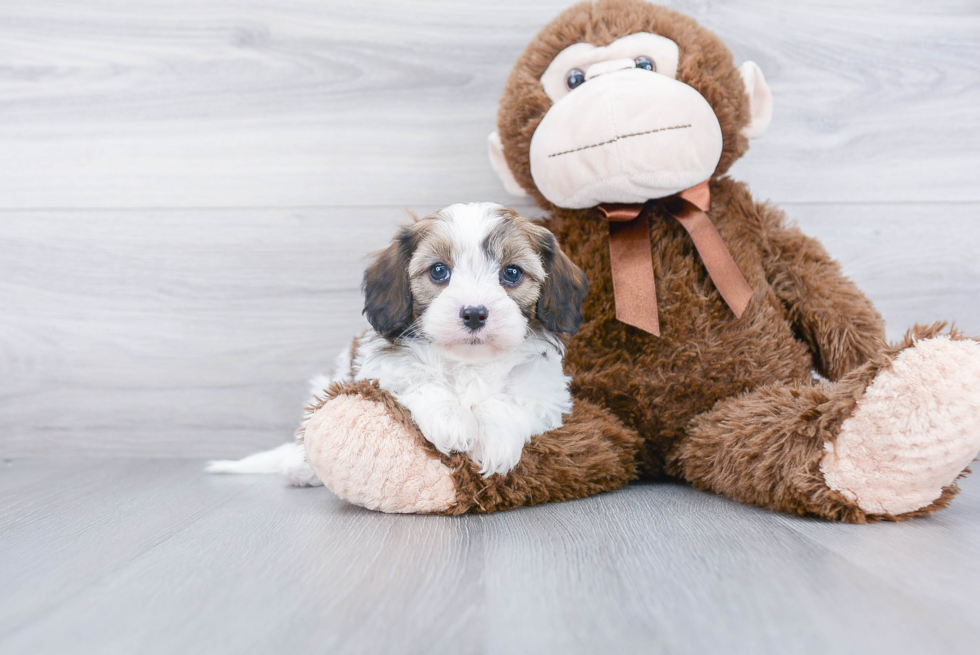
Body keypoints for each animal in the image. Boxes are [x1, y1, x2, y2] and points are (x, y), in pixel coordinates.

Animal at [206, 202, 584, 484]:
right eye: (438, 271)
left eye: (512, 273)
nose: (475, 313)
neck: (469, 361)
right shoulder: (382, 370)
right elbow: (420, 382)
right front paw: (453, 422)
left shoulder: (545, 392)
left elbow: (511, 404)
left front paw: (495, 438)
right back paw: (301, 469)